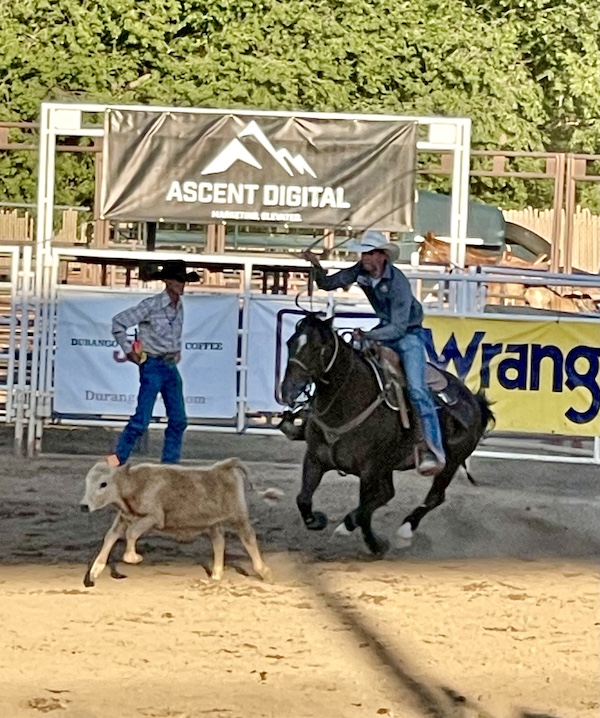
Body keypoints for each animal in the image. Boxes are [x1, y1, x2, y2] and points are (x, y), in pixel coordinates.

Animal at [79, 458, 276, 588]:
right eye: (87, 481)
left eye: (103, 484)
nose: (84, 506)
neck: (134, 484)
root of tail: (224, 466)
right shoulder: (123, 518)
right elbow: (110, 537)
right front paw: (95, 571)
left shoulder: (153, 517)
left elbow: (132, 533)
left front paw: (134, 558)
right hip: (214, 522)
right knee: (219, 542)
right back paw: (216, 575)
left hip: (238, 516)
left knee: (248, 538)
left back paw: (265, 572)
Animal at [282, 314, 492, 556]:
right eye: (289, 343)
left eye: (317, 347)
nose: (288, 390)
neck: (348, 403)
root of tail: (474, 401)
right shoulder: (315, 459)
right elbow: (303, 499)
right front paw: (317, 520)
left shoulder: (370, 471)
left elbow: (365, 511)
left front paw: (375, 544)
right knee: (388, 494)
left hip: (450, 463)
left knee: (434, 497)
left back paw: (404, 531)